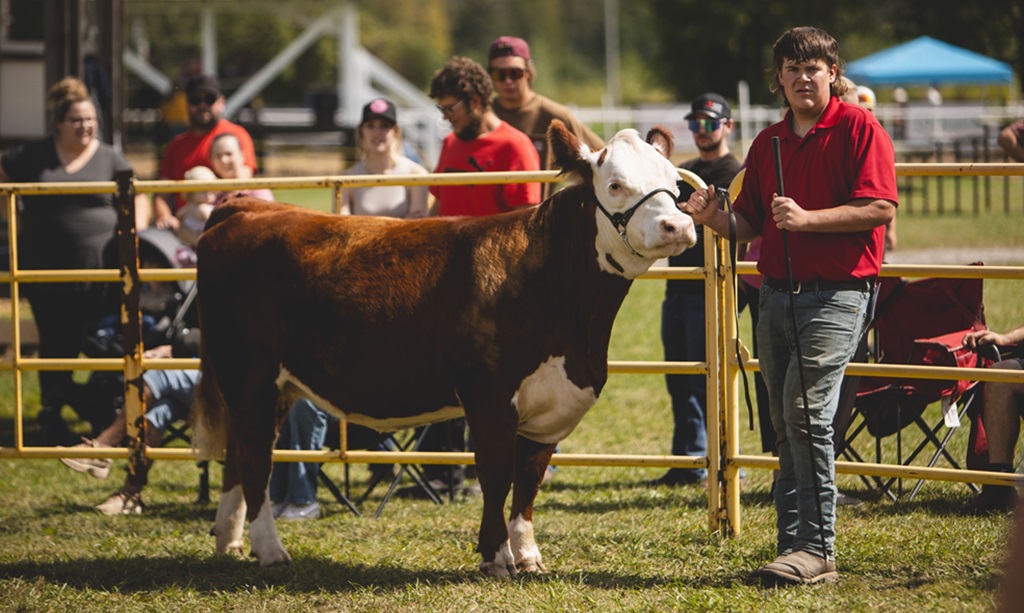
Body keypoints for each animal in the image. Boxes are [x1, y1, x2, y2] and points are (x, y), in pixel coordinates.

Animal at [191, 119, 697, 575]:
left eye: (675, 184)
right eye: (615, 185)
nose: (677, 225)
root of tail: (247, 208)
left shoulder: (554, 405)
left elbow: (529, 482)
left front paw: (529, 556)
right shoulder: (489, 395)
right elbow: (496, 474)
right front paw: (497, 557)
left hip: (275, 385)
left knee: (239, 453)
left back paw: (230, 541)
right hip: (249, 374)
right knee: (255, 456)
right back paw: (270, 550)